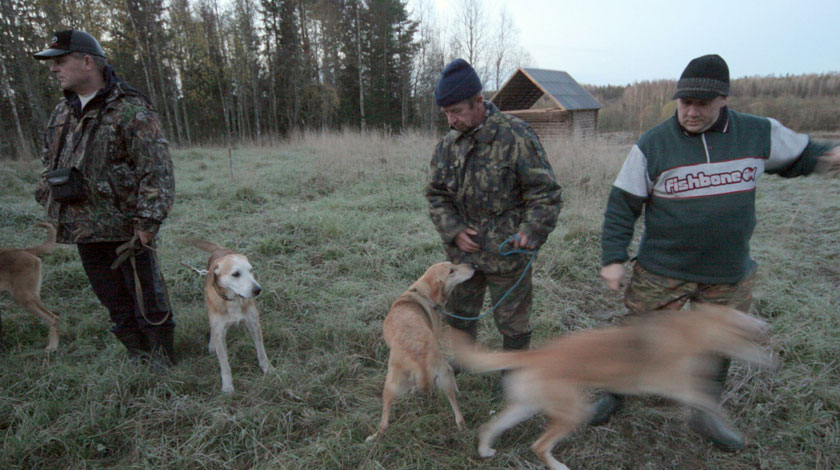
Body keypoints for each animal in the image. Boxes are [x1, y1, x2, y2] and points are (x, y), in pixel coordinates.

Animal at [186, 239, 272, 392]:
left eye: (251, 270)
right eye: (236, 274)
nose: (258, 290)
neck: (234, 300)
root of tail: (219, 250)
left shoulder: (254, 324)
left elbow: (261, 351)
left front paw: (267, 368)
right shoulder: (220, 332)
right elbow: (224, 365)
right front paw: (227, 387)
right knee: (212, 327)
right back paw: (211, 344)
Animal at [366, 262, 476, 442]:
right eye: (451, 270)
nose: (472, 265)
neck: (423, 291)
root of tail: (420, 359)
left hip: (389, 385)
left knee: (384, 423)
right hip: (440, 378)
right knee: (458, 413)